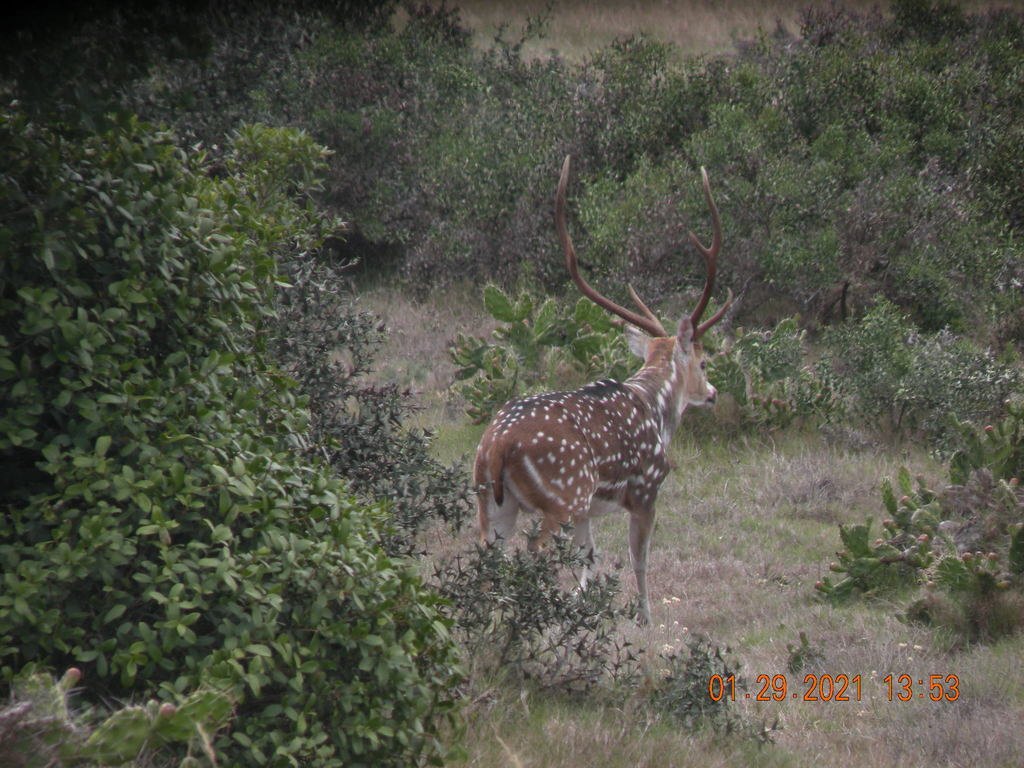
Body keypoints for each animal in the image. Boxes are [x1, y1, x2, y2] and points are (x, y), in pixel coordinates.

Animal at [473, 155, 732, 625]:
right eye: (704, 362)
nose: (713, 392)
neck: (656, 411)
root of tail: (495, 445)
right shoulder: (647, 489)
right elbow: (639, 558)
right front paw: (646, 618)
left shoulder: (589, 509)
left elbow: (588, 559)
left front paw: (581, 609)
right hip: (562, 493)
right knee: (532, 552)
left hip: (492, 498)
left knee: (488, 559)